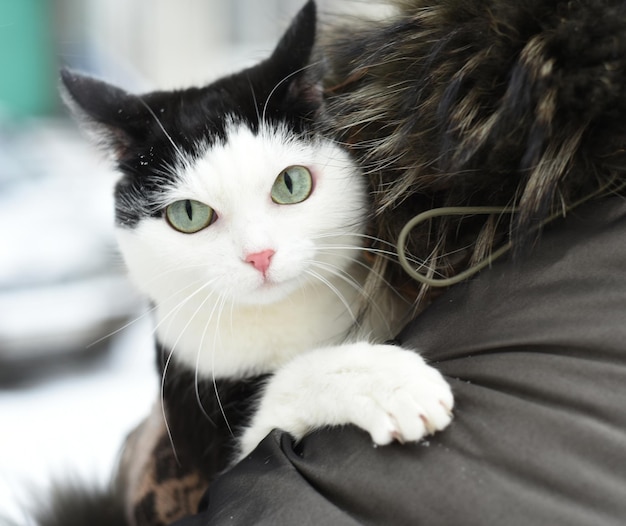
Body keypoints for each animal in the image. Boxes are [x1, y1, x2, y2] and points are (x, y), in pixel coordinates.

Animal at [56, 2, 450, 524]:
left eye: (291, 183)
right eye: (188, 214)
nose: (259, 255)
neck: (285, 316)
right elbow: (282, 395)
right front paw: (389, 381)